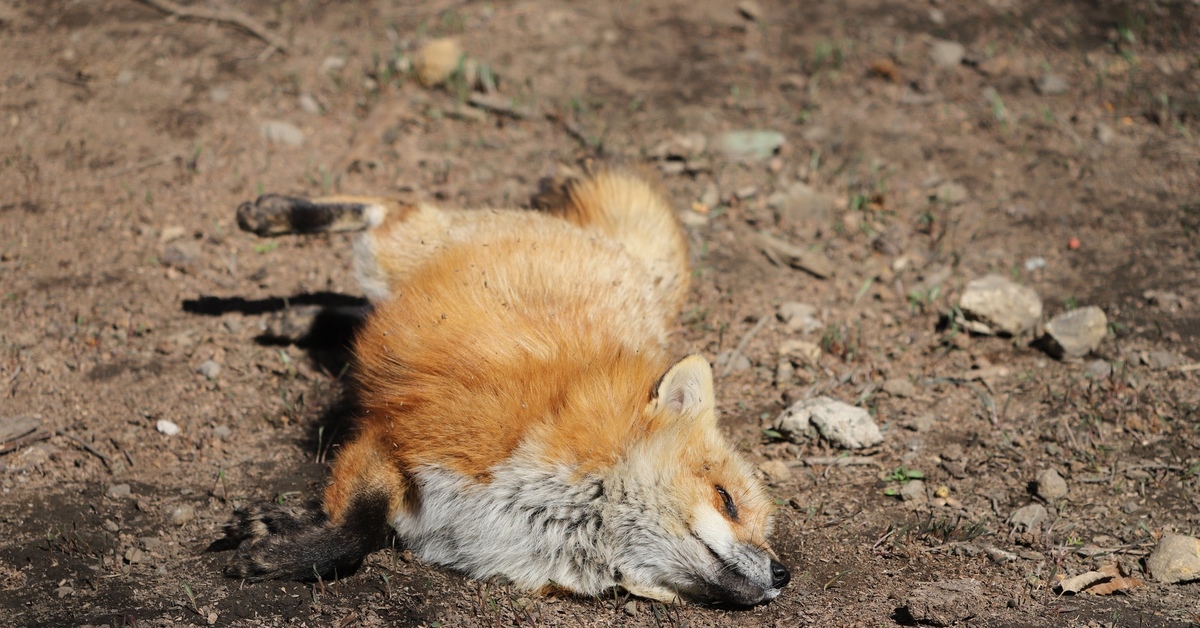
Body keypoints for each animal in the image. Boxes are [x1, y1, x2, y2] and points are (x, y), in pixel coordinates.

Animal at [220, 166, 792, 605]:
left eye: (764, 529)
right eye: (726, 500)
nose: (782, 572)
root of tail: (619, 255)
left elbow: (362, 526)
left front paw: (277, 526)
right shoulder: (402, 439)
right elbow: (355, 534)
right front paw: (282, 553)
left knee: (354, 303)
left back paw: (298, 317)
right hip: (397, 252)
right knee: (390, 205)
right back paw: (270, 213)